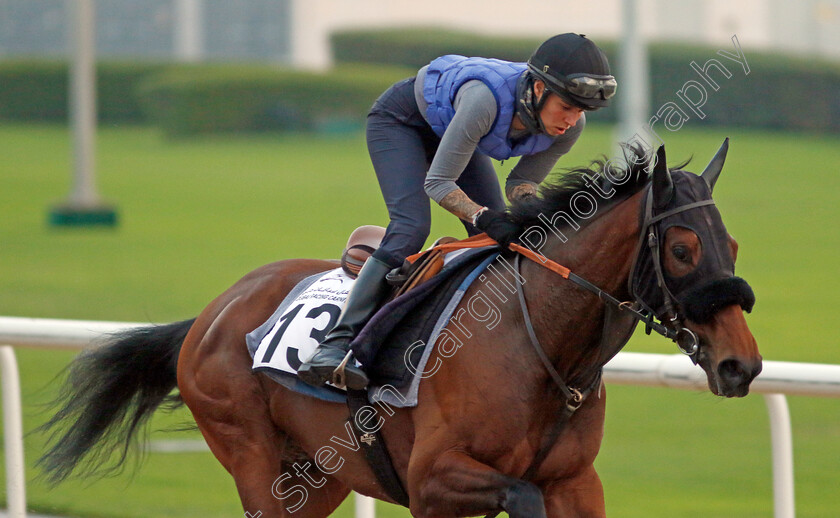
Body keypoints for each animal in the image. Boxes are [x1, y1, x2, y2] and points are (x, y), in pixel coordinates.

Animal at [37, 142, 760, 518]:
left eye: (733, 245)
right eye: (684, 249)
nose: (742, 365)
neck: (541, 348)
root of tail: (211, 313)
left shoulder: (576, 483)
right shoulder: (434, 480)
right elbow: (517, 495)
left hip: (315, 475)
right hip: (251, 455)